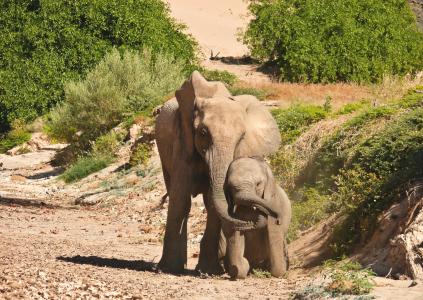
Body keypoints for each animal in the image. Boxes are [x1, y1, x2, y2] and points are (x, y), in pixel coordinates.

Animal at [156, 71, 282, 274]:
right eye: (203, 132)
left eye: (241, 137)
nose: (275, 217)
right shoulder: (182, 140)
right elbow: (180, 198)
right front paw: (168, 269)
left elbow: (212, 202)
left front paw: (209, 272)